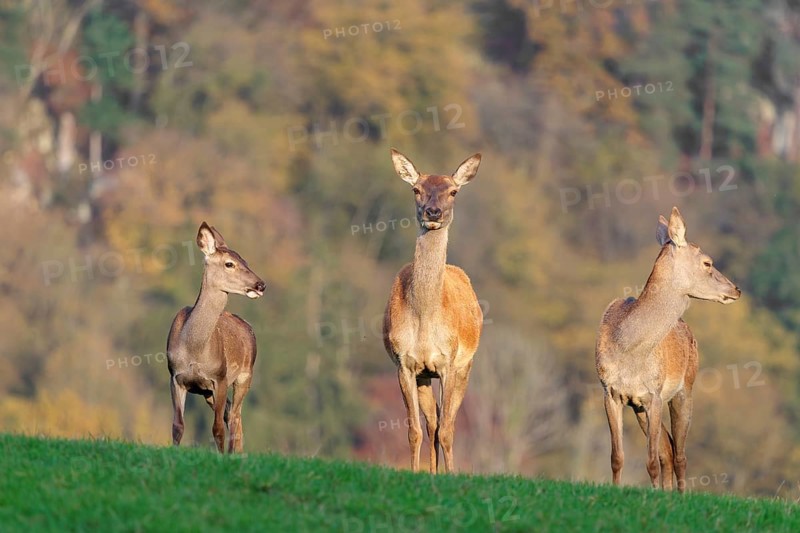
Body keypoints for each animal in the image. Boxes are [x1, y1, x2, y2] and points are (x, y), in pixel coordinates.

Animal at [167, 222, 266, 453]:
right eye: (230, 263)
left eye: (245, 261)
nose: (260, 285)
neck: (194, 350)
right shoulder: (175, 376)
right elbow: (178, 426)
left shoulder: (220, 377)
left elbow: (217, 428)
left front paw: (221, 456)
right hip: (208, 393)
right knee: (231, 414)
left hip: (245, 375)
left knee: (235, 416)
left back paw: (235, 454)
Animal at [383, 148, 484, 474]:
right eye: (416, 189)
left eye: (453, 191)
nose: (433, 212)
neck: (425, 320)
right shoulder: (405, 363)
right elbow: (415, 429)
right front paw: (417, 472)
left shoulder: (449, 362)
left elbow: (448, 428)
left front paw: (451, 474)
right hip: (425, 376)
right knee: (433, 422)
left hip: (466, 365)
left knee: (444, 422)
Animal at [595, 207, 741, 491]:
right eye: (707, 263)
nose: (736, 289)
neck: (629, 352)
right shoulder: (611, 392)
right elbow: (617, 457)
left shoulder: (655, 394)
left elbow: (651, 460)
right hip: (641, 407)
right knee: (668, 450)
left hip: (686, 388)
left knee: (680, 454)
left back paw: (681, 495)